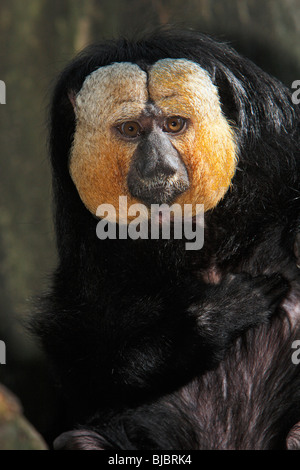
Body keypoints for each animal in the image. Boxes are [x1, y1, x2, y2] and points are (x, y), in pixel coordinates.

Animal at [31, 29, 300, 444]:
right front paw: (215, 317)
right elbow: (84, 371)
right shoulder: (91, 270)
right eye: (130, 130)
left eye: (174, 124)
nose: (159, 166)